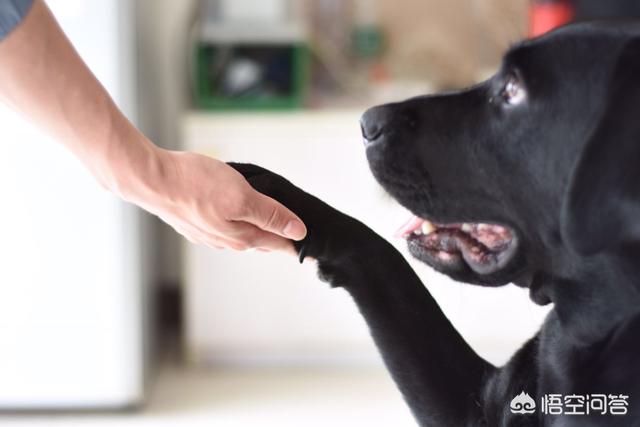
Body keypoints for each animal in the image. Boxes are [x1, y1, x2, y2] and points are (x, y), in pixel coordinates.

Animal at [228, 22, 640, 427]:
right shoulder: (473, 405)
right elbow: (383, 255)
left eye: (513, 90)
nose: (366, 122)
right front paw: (265, 191)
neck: (586, 331)